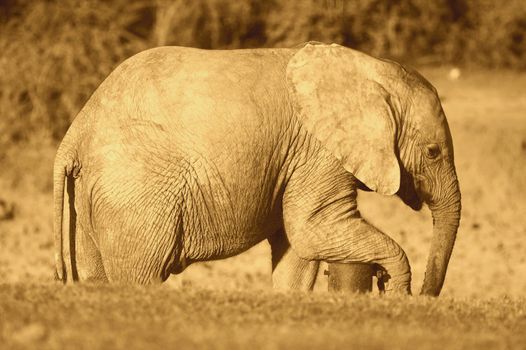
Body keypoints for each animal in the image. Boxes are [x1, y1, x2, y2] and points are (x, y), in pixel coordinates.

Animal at [52, 42, 462, 296]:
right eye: (433, 152)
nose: (424, 297)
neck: (370, 70)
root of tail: (74, 134)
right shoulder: (318, 152)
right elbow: (313, 229)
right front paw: (395, 287)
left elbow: (298, 249)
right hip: (135, 195)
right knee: (141, 275)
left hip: (93, 195)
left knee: (96, 274)